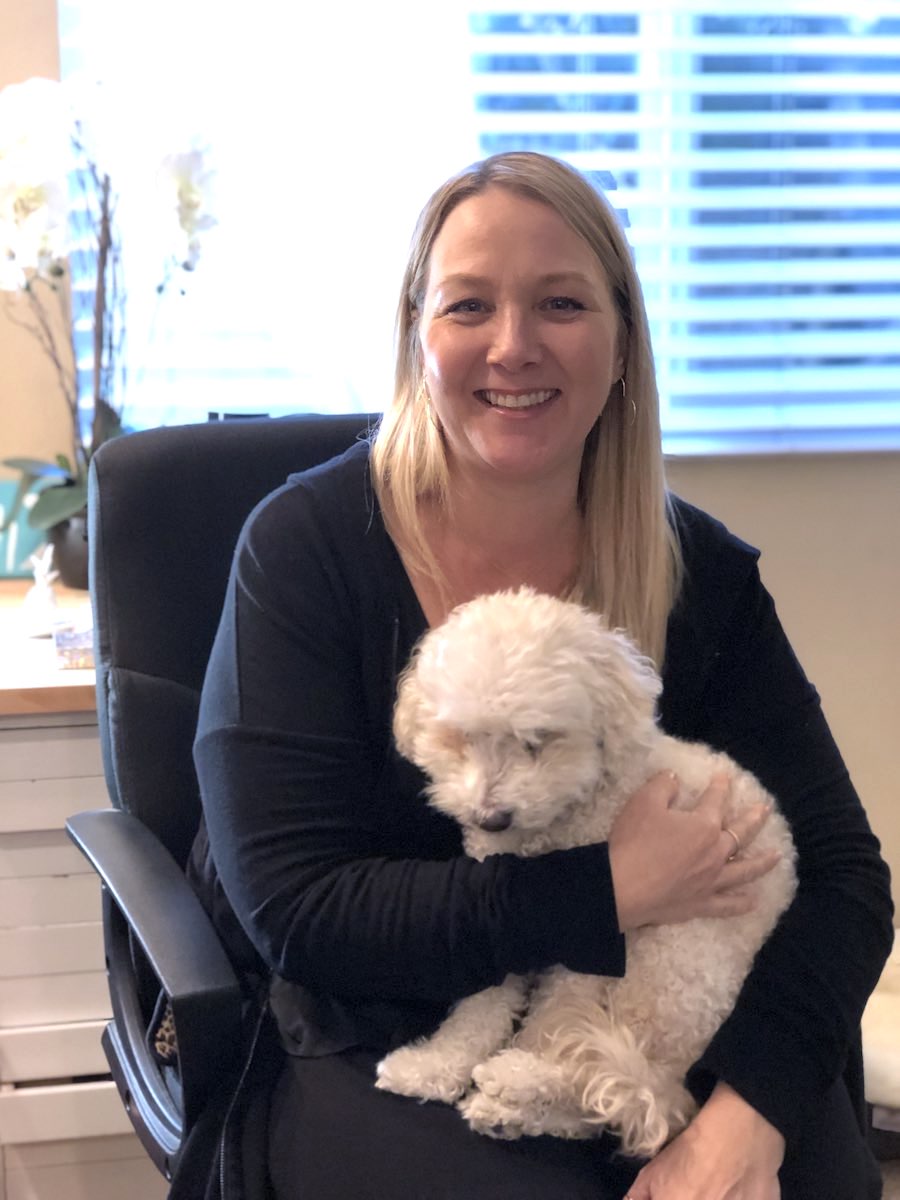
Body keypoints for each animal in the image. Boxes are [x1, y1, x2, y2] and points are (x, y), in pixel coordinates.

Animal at [376, 585, 801, 1156]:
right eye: (460, 738)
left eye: (537, 740)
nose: (491, 818)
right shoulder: (499, 930)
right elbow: (478, 1011)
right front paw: (432, 1067)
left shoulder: (589, 946)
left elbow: (556, 1030)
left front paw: (520, 1070)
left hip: (666, 961)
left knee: (610, 1078)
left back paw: (520, 1084)